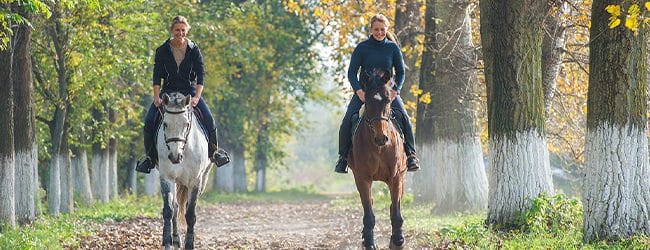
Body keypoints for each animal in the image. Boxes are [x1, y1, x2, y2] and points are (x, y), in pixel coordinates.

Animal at [156, 92, 210, 250]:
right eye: (165, 124)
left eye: (186, 124)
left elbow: (190, 214)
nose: (175, 157)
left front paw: (189, 244)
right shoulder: (166, 178)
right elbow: (168, 211)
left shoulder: (195, 181)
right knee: (175, 207)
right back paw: (175, 240)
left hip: (203, 180)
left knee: (186, 207)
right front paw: (168, 243)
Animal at [350, 67, 404, 249]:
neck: (379, 148)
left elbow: (396, 211)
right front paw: (369, 243)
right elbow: (369, 214)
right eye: (366, 101)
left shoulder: (396, 177)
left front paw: (398, 241)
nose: (381, 138)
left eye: (387, 100)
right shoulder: (362, 178)